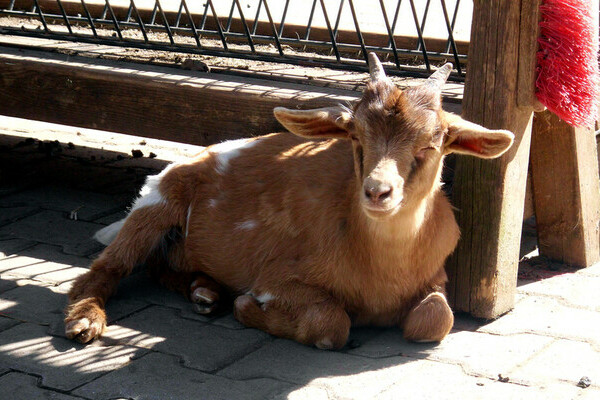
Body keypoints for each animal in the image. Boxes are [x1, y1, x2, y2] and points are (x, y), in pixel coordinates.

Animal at [67, 54, 516, 350]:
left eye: (431, 143)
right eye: (355, 137)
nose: (377, 191)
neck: (382, 271)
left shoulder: (436, 276)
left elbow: (436, 319)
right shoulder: (278, 276)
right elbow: (331, 323)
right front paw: (247, 308)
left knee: (160, 266)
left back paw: (204, 292)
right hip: (157, 202)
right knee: (106, 267)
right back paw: (85, 321)